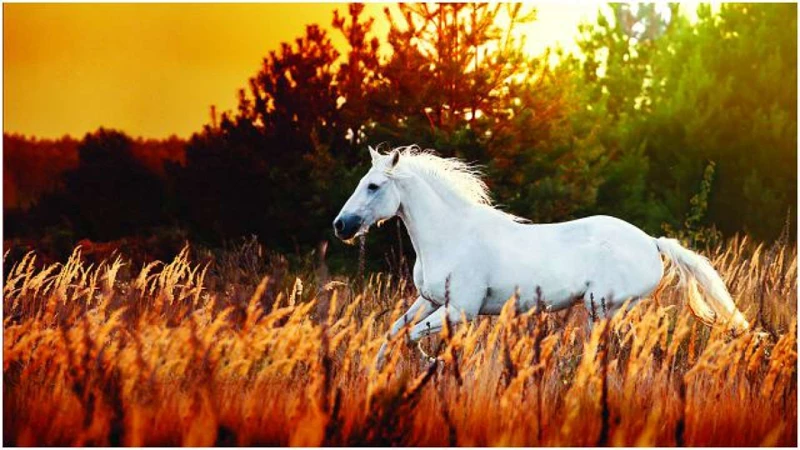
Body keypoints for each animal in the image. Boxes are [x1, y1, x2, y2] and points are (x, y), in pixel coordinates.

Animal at [332, 146, 752, 368]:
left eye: (373, 186)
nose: (341, 226)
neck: (450, 234)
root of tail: (651, 242)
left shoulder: (461, 310)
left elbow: (412, 334)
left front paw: (429, 362)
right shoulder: (430, 299)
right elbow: (394, 331)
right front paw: (377, 372)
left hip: (604, 306)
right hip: (603, 311)